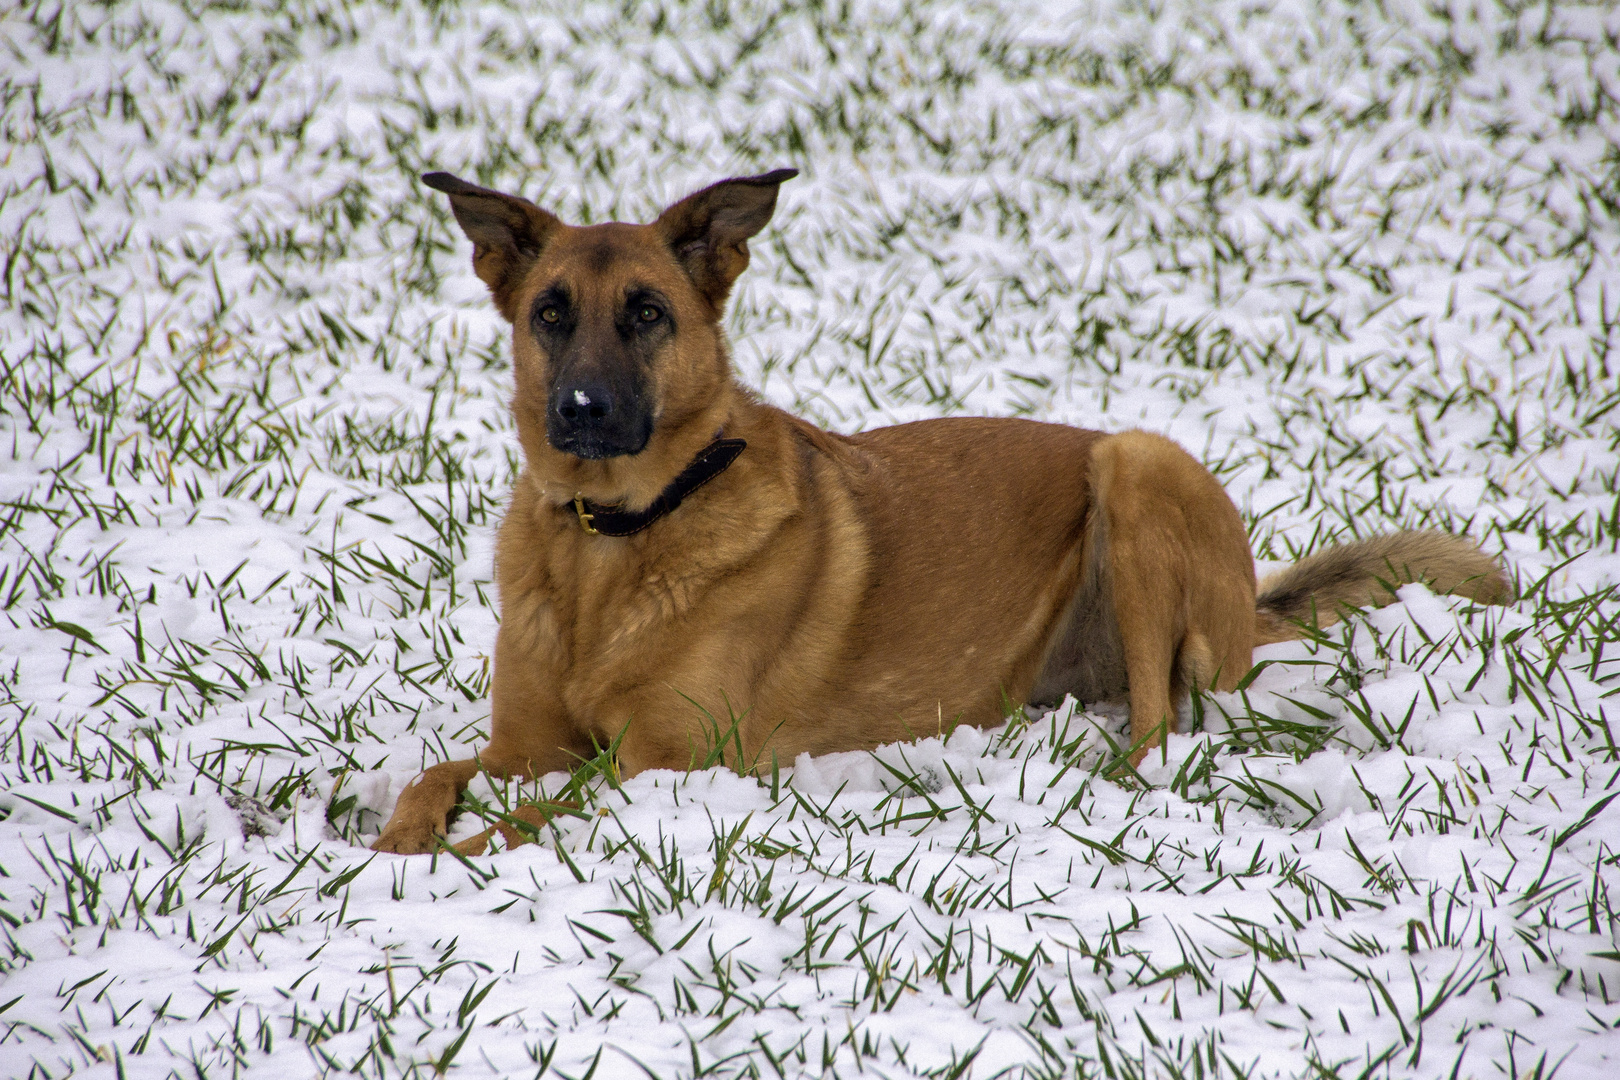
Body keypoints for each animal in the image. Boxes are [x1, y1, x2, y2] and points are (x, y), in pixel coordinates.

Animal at [372, 170, 1509, 861]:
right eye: (550, 313)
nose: (582, 412)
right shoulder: (529, 745)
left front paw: (439, 865)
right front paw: (391, 849)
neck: (615, 540)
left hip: (1136, 465)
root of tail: (1248, 613)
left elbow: (524, 819)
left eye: (648, 313)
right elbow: (437, 777)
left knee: (1160, 730)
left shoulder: (663, 764)